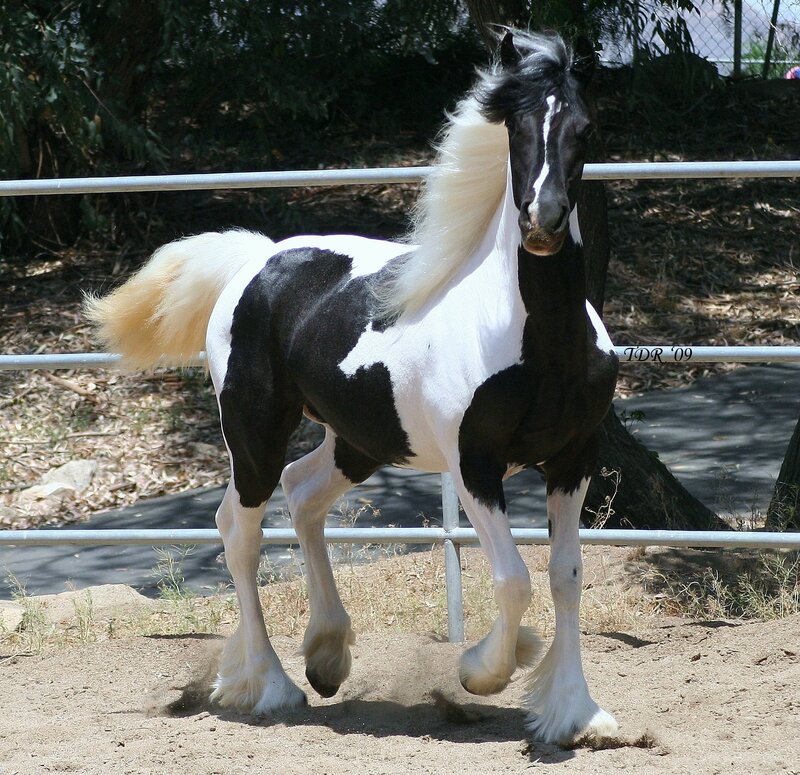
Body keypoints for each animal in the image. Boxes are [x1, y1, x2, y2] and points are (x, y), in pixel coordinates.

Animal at [85, 30, 619, 745]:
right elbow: (513, 580)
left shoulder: (573, 459)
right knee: (240, 529)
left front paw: (576, 712)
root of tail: (256, 260)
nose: (544, 220)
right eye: (517, 126)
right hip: (254, 432)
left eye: (585, 129)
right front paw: (482, 672)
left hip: (359, 441)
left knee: (302, 494)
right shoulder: (473, 465)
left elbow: (566, 574)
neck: (531, 340)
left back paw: (326, 657)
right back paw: (272, 686)